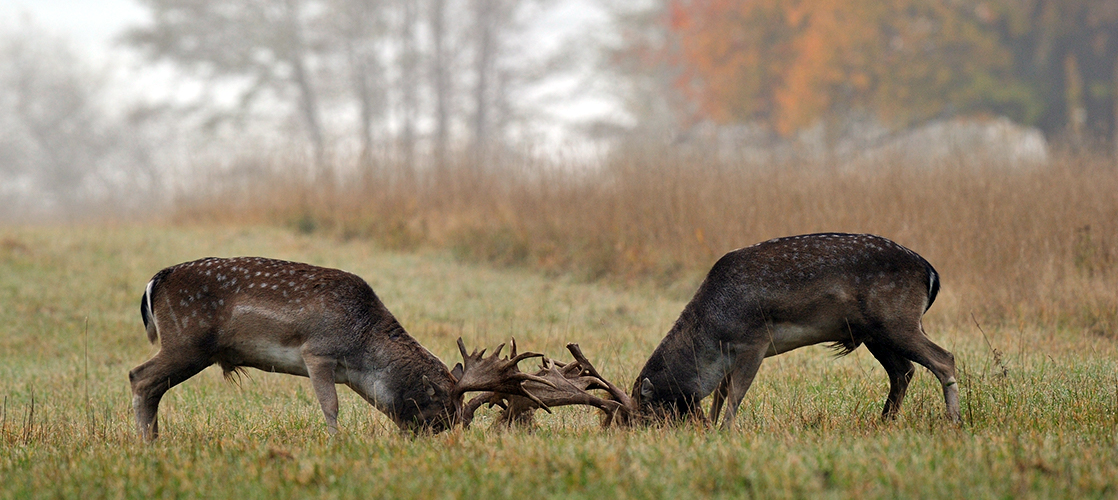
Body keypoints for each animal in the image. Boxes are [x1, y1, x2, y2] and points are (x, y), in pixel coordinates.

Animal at [128, 256, 552, 440]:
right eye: (442, 415)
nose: (436, 440)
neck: (361, 348)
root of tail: (154, 281)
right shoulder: (317, 351)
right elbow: (329, 406)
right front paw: (336, 442)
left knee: (148, 382)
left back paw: (153, 440)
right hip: (186, 340)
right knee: (139, 376)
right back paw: (147, 443)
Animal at [630, 232, 961, 429]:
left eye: (645, 413)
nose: (629, 429)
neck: (716, 331)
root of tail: (931, 273)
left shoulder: (755, 341)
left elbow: (735, 393)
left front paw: (725, 431)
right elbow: (721, 393)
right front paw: (712, 427)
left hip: (897, 321)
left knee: (944, 358)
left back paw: (953, 421)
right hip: (875, 333)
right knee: (903, 371)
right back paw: (883, 422)